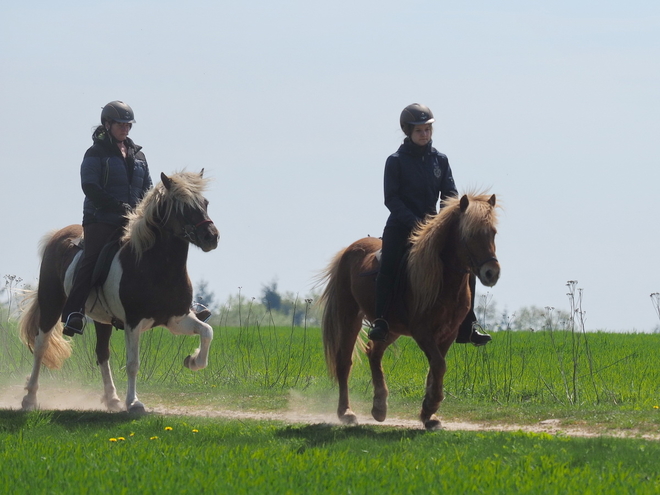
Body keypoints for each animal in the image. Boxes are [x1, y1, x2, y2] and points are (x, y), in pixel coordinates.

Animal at [18, 170, 218, 414]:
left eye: (204, 203)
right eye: (182, 208)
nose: (211, 237)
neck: (155, 266)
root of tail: (58, 235)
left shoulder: (176, 320)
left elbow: (207, 331)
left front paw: (193, 361)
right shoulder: (133, 321)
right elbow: (133, 363)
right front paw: (133, 403)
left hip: (102, 319)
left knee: (102, 353)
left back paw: (112, 399)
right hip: (52, 304)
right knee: (40, 346)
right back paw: (30, 399)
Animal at [320, 192, 500, 432]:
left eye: (493, 233)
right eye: (469, 235)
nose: (492, 273)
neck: (442, 279)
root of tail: (349, 249)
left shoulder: (449, 333)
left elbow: (436, 367)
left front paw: (429, 414)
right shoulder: (421, 331)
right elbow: (439, 365)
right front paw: (430, 406)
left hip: (389, 328)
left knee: (373, 352)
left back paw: (379, 407)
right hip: (349, 317)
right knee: (344, 362)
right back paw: (346, 413)